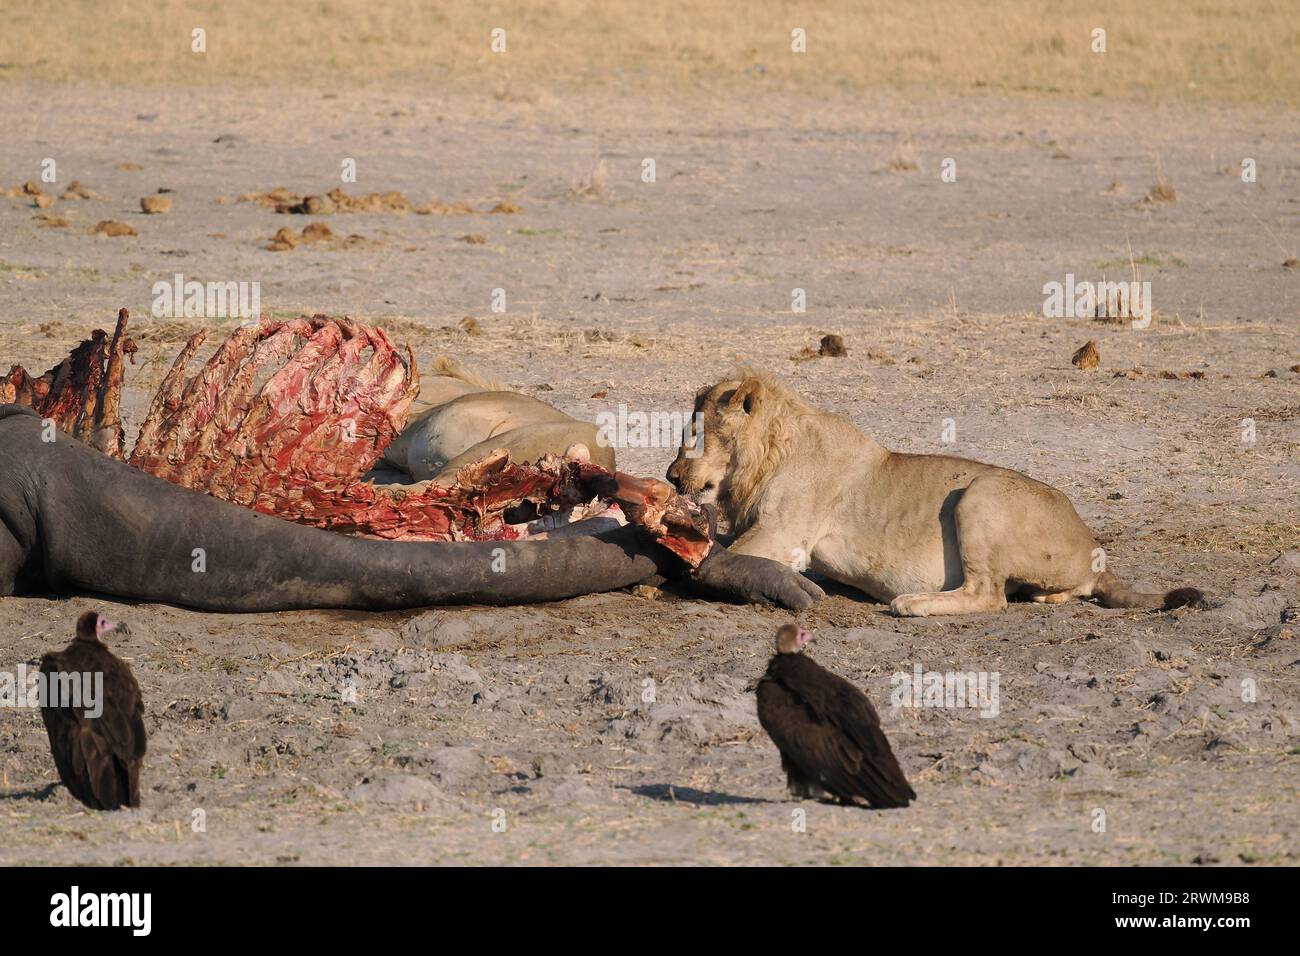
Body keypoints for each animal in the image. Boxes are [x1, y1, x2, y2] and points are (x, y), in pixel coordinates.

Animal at [665, 369, 1201, 616]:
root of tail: (1094, 550)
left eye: (697, 432)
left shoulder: (783, 534)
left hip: (980, 494)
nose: (670, 476)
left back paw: (912, 603)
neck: (765, 455)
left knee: (989, 596)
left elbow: (723, 556)